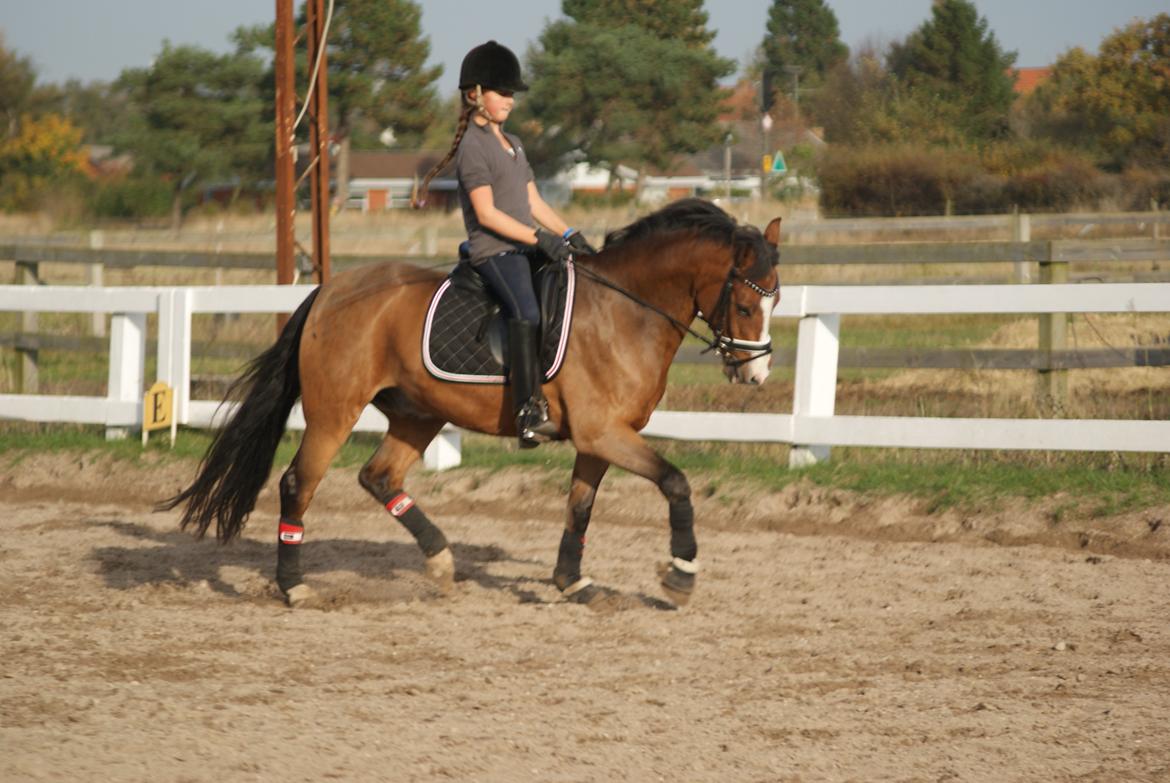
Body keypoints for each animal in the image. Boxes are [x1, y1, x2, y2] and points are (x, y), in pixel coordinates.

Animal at [155, 198, 776, 608]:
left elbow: (580, 508)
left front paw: (572, 581)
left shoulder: (600, 439)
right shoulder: (603, 433)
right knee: (297, 484)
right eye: (747, 305)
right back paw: (295, 585)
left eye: (776, 299)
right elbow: (676, 482)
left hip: (419, 413)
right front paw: (681, 572)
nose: (757, 372)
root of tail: (330, 290)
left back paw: (439, 559)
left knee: (379, 477)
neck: (626, 311)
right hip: (335, 412)